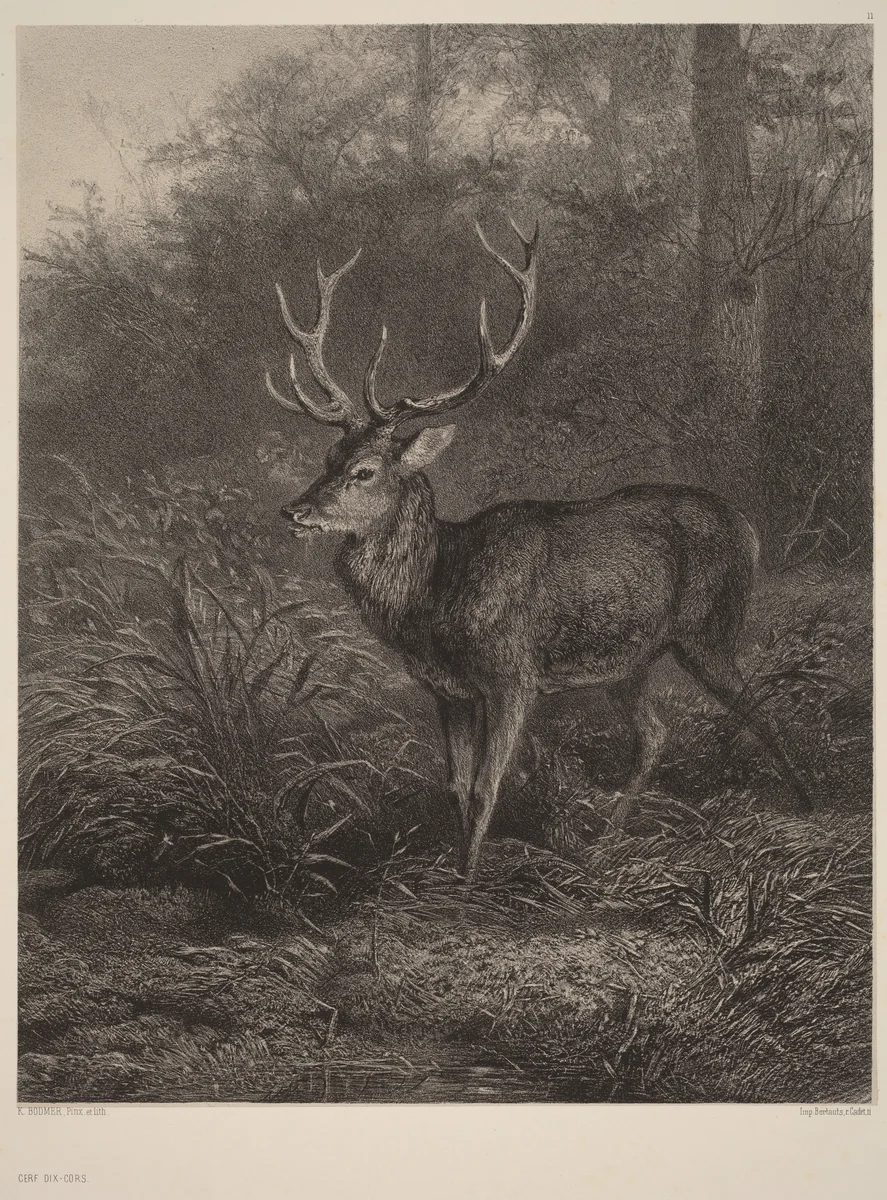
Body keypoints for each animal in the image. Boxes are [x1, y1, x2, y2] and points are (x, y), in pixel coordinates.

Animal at [266, 219, 812, 881]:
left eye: (366, 470)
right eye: (329, 459)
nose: (294, 511)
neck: (435, 595)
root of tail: (750, 529)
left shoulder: (512, 676)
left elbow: (485, 788)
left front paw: (469, 881)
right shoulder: (447, 689)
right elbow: (455, 786)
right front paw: (457, 866)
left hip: (710, 629)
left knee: (761, 706)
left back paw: (808, 807)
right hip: (630, 661)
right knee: (657, 733)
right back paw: (606, 839)